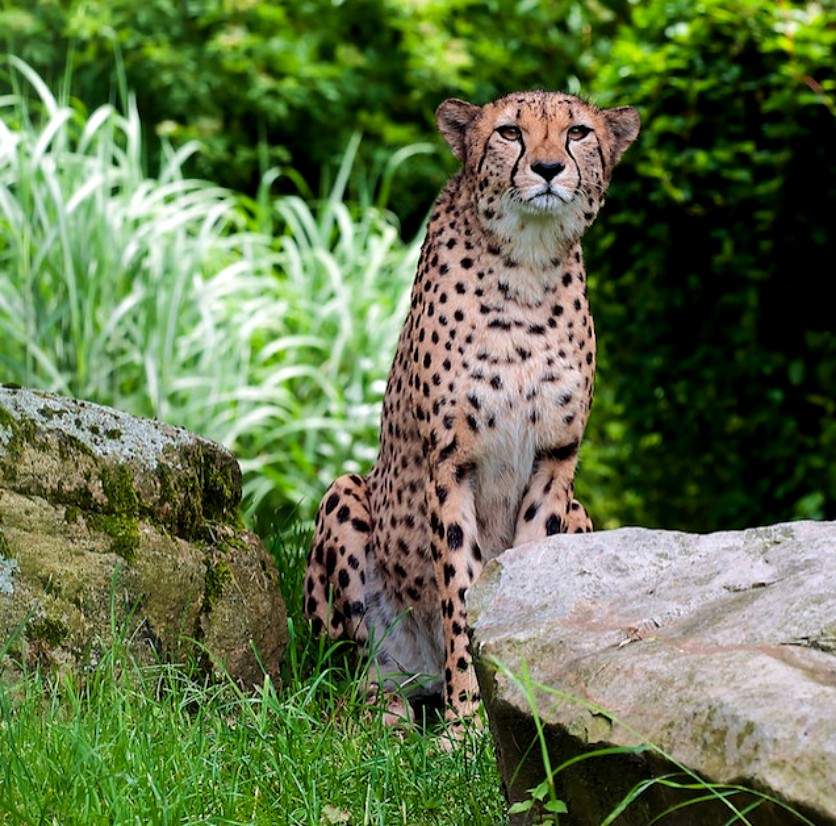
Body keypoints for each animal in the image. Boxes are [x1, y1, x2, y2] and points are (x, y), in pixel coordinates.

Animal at [304, 90, 636, 732]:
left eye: (578, 132)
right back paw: (387, 709)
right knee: (350, 672)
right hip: (346, 496)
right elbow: (461, 589)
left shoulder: (555, 459)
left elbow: (525, 581)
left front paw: (518, 699)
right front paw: (468, 724)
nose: (548, 168)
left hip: (581, 513)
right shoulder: (451, 463)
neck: (527, 268)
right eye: (509, 132)